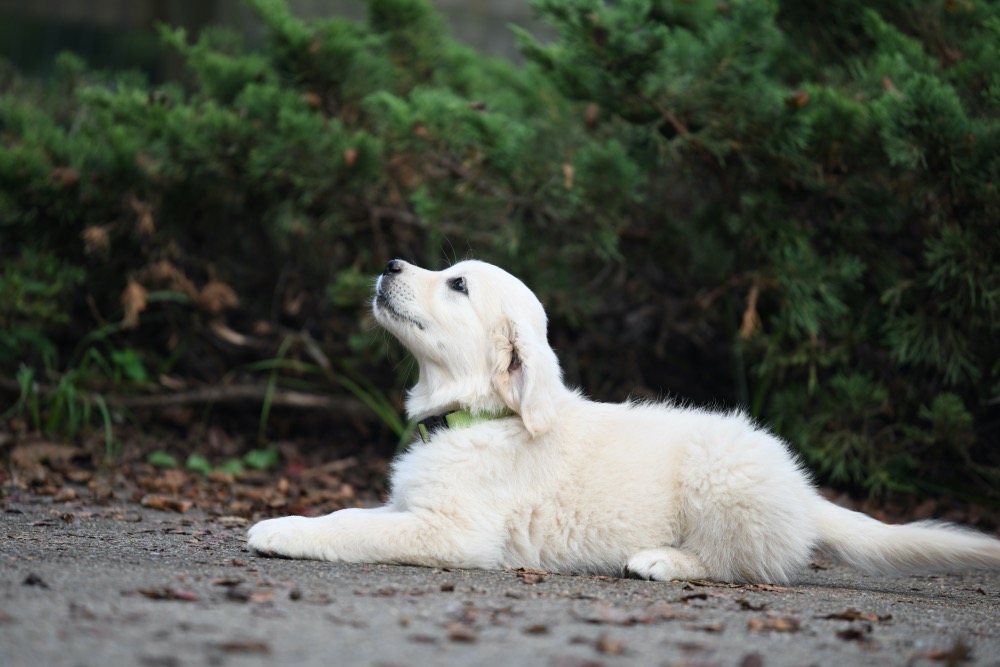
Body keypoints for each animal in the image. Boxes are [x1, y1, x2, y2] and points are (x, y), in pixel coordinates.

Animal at [248, 258, 1000, 580]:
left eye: (457, 283)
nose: (390, 262)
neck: (481, 416)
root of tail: (805, 493)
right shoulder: (413, 505)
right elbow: (357, 512)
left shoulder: (453, 531)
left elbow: (353, 528)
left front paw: (281, 529)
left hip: (718, 476)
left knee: (745, 565)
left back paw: (662, 560)